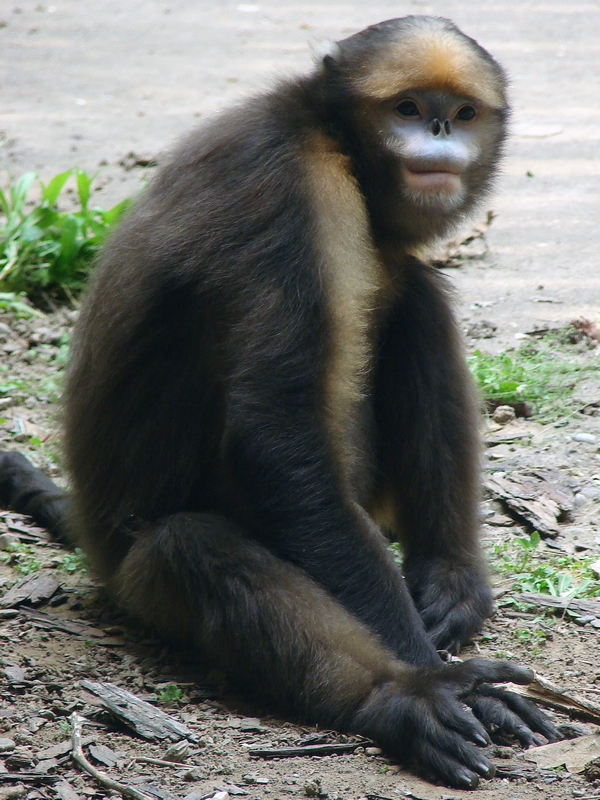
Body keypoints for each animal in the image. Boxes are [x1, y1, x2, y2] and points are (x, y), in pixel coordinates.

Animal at [0, 16, 559, 789]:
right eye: (407, 109)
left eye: (464, 112)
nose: (441, 127)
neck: (326, 135)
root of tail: (94, 535)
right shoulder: (288, 190)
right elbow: (275, 435)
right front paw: (438, 681)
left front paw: (457, 592)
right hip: (139, 581)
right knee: (188, 546)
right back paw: (399, 697)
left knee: (414, 296)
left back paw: (441, 577)